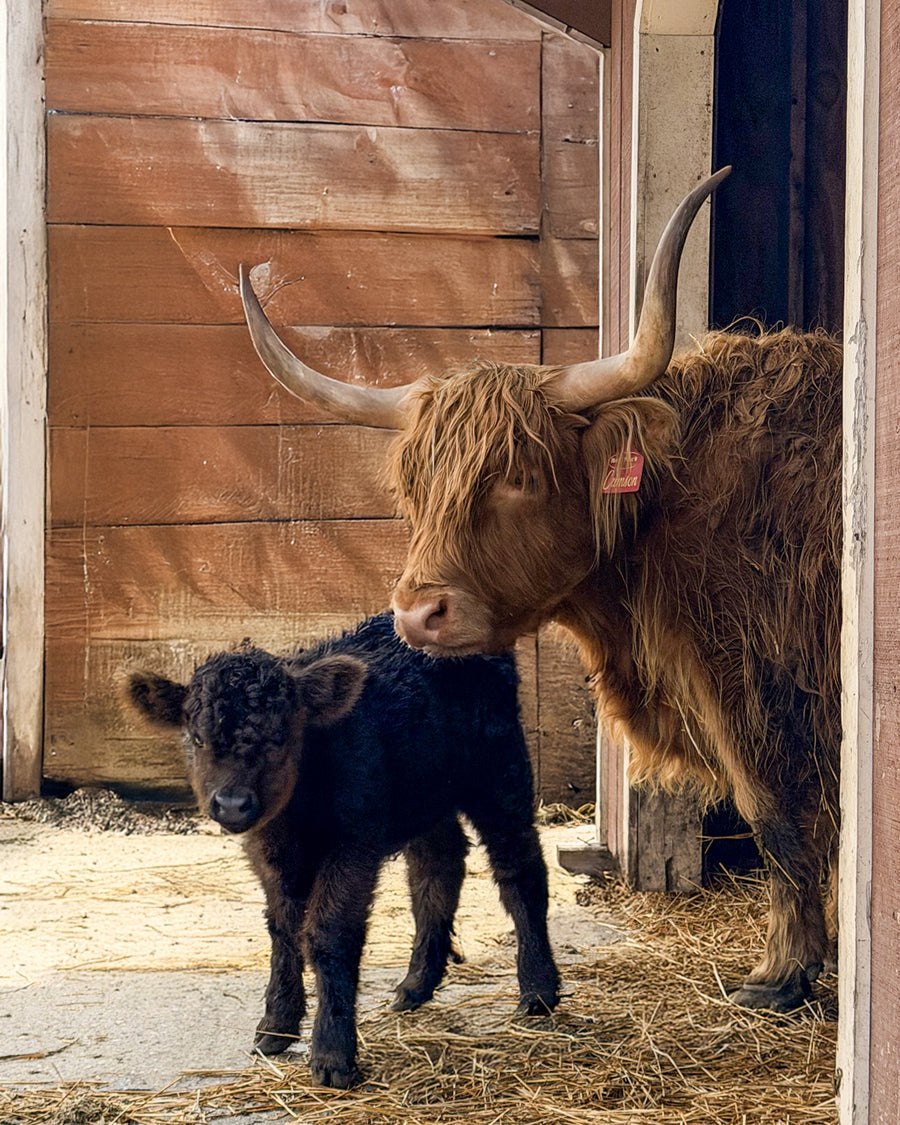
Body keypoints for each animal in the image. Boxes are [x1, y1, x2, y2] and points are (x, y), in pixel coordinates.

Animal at [126, 613, 559, 1088]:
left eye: (281, 735)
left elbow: (328, 933)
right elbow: (283, 929)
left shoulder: (353, 844)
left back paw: (538, 991)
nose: (233, 803)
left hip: (499, 770)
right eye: (197, 738)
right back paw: (416, 984)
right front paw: (275, 1027)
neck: (297, 814)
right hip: (423, 793)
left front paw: (332, 1055)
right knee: (437, 867)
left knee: (519, 867)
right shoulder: (268, 855)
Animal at [237, 167, 843, 1015]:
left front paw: (782, 973)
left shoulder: (751, 684)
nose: (417, 613)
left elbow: (778, 817)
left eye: (520, 477)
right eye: (415, 484)